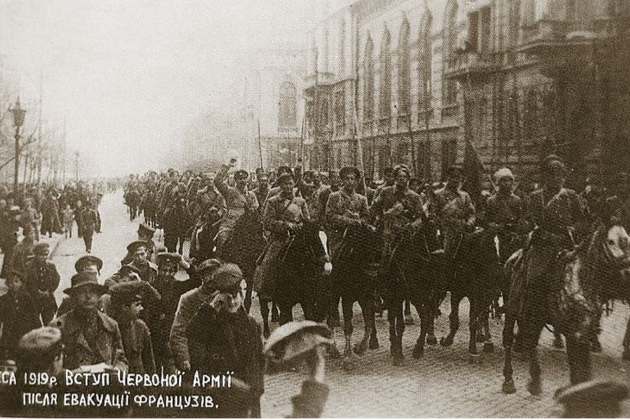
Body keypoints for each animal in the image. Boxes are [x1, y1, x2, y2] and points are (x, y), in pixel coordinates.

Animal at [328, 221, 382, 370]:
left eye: (381, 248)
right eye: (365, 247)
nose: (373, 273)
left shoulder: (367, 298)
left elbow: (369, 324)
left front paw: (360, 348)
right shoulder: (346, 299)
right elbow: (348, 327)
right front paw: (348, 358)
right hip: (333, 295)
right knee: (331, 319)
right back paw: (333, 349)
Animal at [382, 218, 442, 366]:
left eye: (440, 235)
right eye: (429, 235)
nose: (440, 262)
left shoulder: (423, 295)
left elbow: (425, 318)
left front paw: (418, 348)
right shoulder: (399, 295)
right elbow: (399, 324)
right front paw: (398, 355)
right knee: (392, 318)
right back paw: (393, 346)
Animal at [504, 221, 630, 396]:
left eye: (628, 239)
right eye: (611, 241)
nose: (628, 272)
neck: (580, 282)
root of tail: (515, 257)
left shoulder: (583, 333)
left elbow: (582, 369)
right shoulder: (574, 333)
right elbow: (577, 369)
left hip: (535, 317)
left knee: (531, 340)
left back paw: (534, 380)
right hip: (512, 310)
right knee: (509, 339)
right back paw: (509, 379)